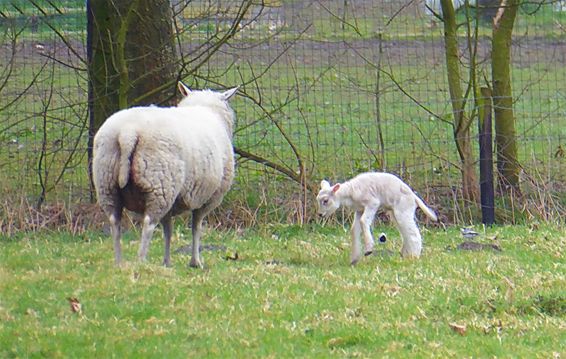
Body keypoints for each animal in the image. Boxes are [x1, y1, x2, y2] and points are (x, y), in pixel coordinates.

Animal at [92, 81, 239, 268]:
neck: (206, 109)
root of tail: (128, 132)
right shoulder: (206, 199)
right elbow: (196, 227)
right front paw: (195, 261)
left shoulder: (174, 200)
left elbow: (168, 230)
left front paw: (167, 262)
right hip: (159, 184)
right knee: (148, 224)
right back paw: (141, 261)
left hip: (108, 183)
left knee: (114, 222)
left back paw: (119, 263)